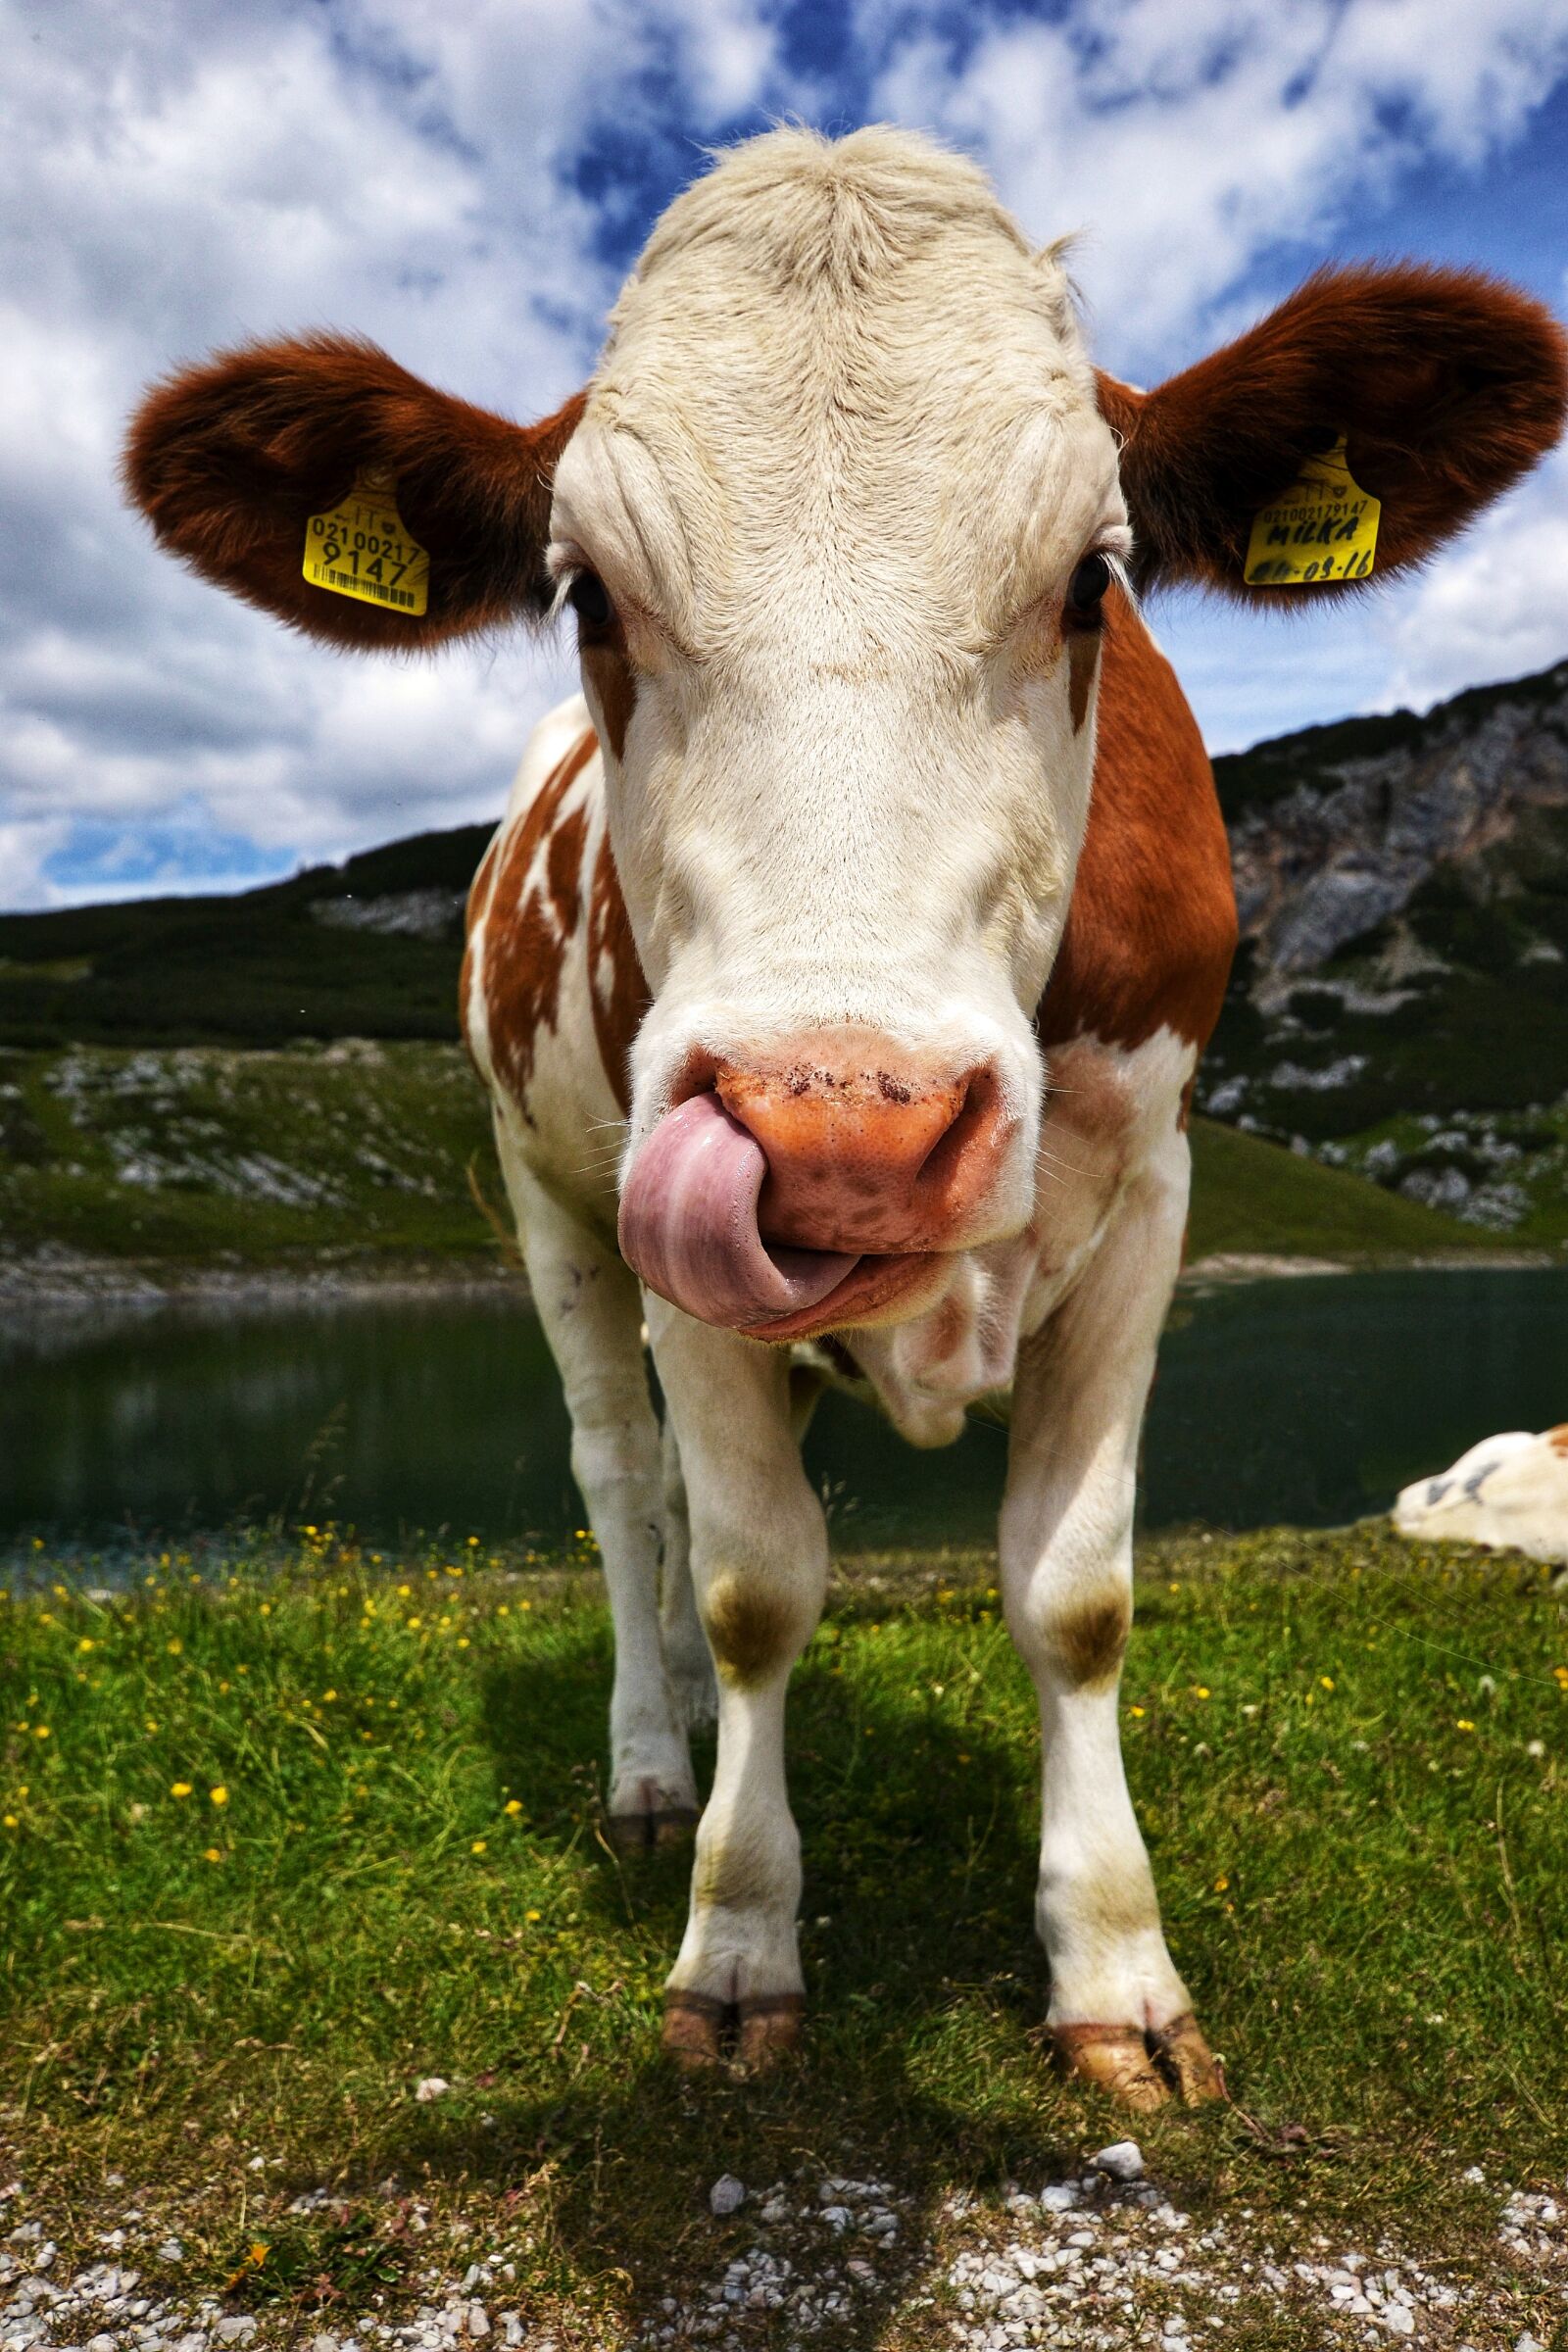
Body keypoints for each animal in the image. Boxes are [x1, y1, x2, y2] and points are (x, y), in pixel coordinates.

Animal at [126, 126, 1567, 2109]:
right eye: (584, 594)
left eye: (1092, 581)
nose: (841, 1135)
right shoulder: (658, 1227)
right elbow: (755, 1590)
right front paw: (737, 1945)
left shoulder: (1157, 1195)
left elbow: (1075, 1593)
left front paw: (1117, 1973)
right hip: (549, 1203)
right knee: (625, 1485)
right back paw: (654, 1767)